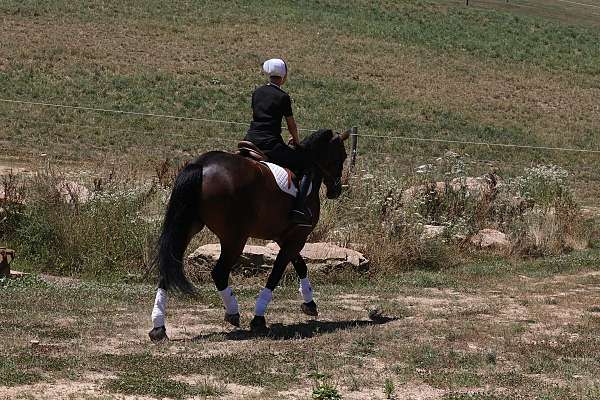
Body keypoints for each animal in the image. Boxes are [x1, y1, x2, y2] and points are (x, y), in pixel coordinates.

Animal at [147, 129, 350, 340]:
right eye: (342, 156)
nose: (336, 190)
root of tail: (201, 165)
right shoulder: (297, 237)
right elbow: (277, 273)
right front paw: (259, 318)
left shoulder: (285, 237)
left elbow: (301, 265)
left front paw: (309, 303)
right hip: (235, 239)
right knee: (219, 273)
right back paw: (233, 312)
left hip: (187, 228)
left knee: (168, 267)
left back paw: (158, 327)